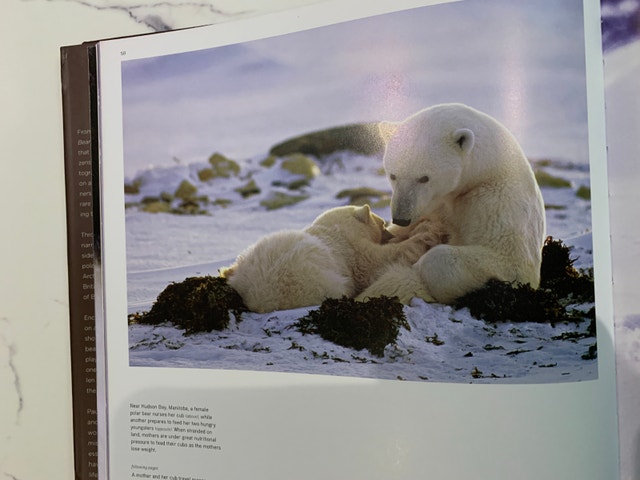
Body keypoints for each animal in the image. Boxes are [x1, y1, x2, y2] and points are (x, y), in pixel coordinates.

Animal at [220, 205, 444, 313]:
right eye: (382, 223)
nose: (389, 231)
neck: (335, 229)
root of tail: (260, 297)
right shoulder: (352, 250)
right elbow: (375, 262)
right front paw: (425, 234)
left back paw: (226, 270)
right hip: (317, 281)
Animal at [357, 103, 546, 304]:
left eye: (424, 178)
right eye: (393, 175)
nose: (401, 218)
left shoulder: (497, 202)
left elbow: (511, 260)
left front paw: (418, 263)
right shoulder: (431, 208)